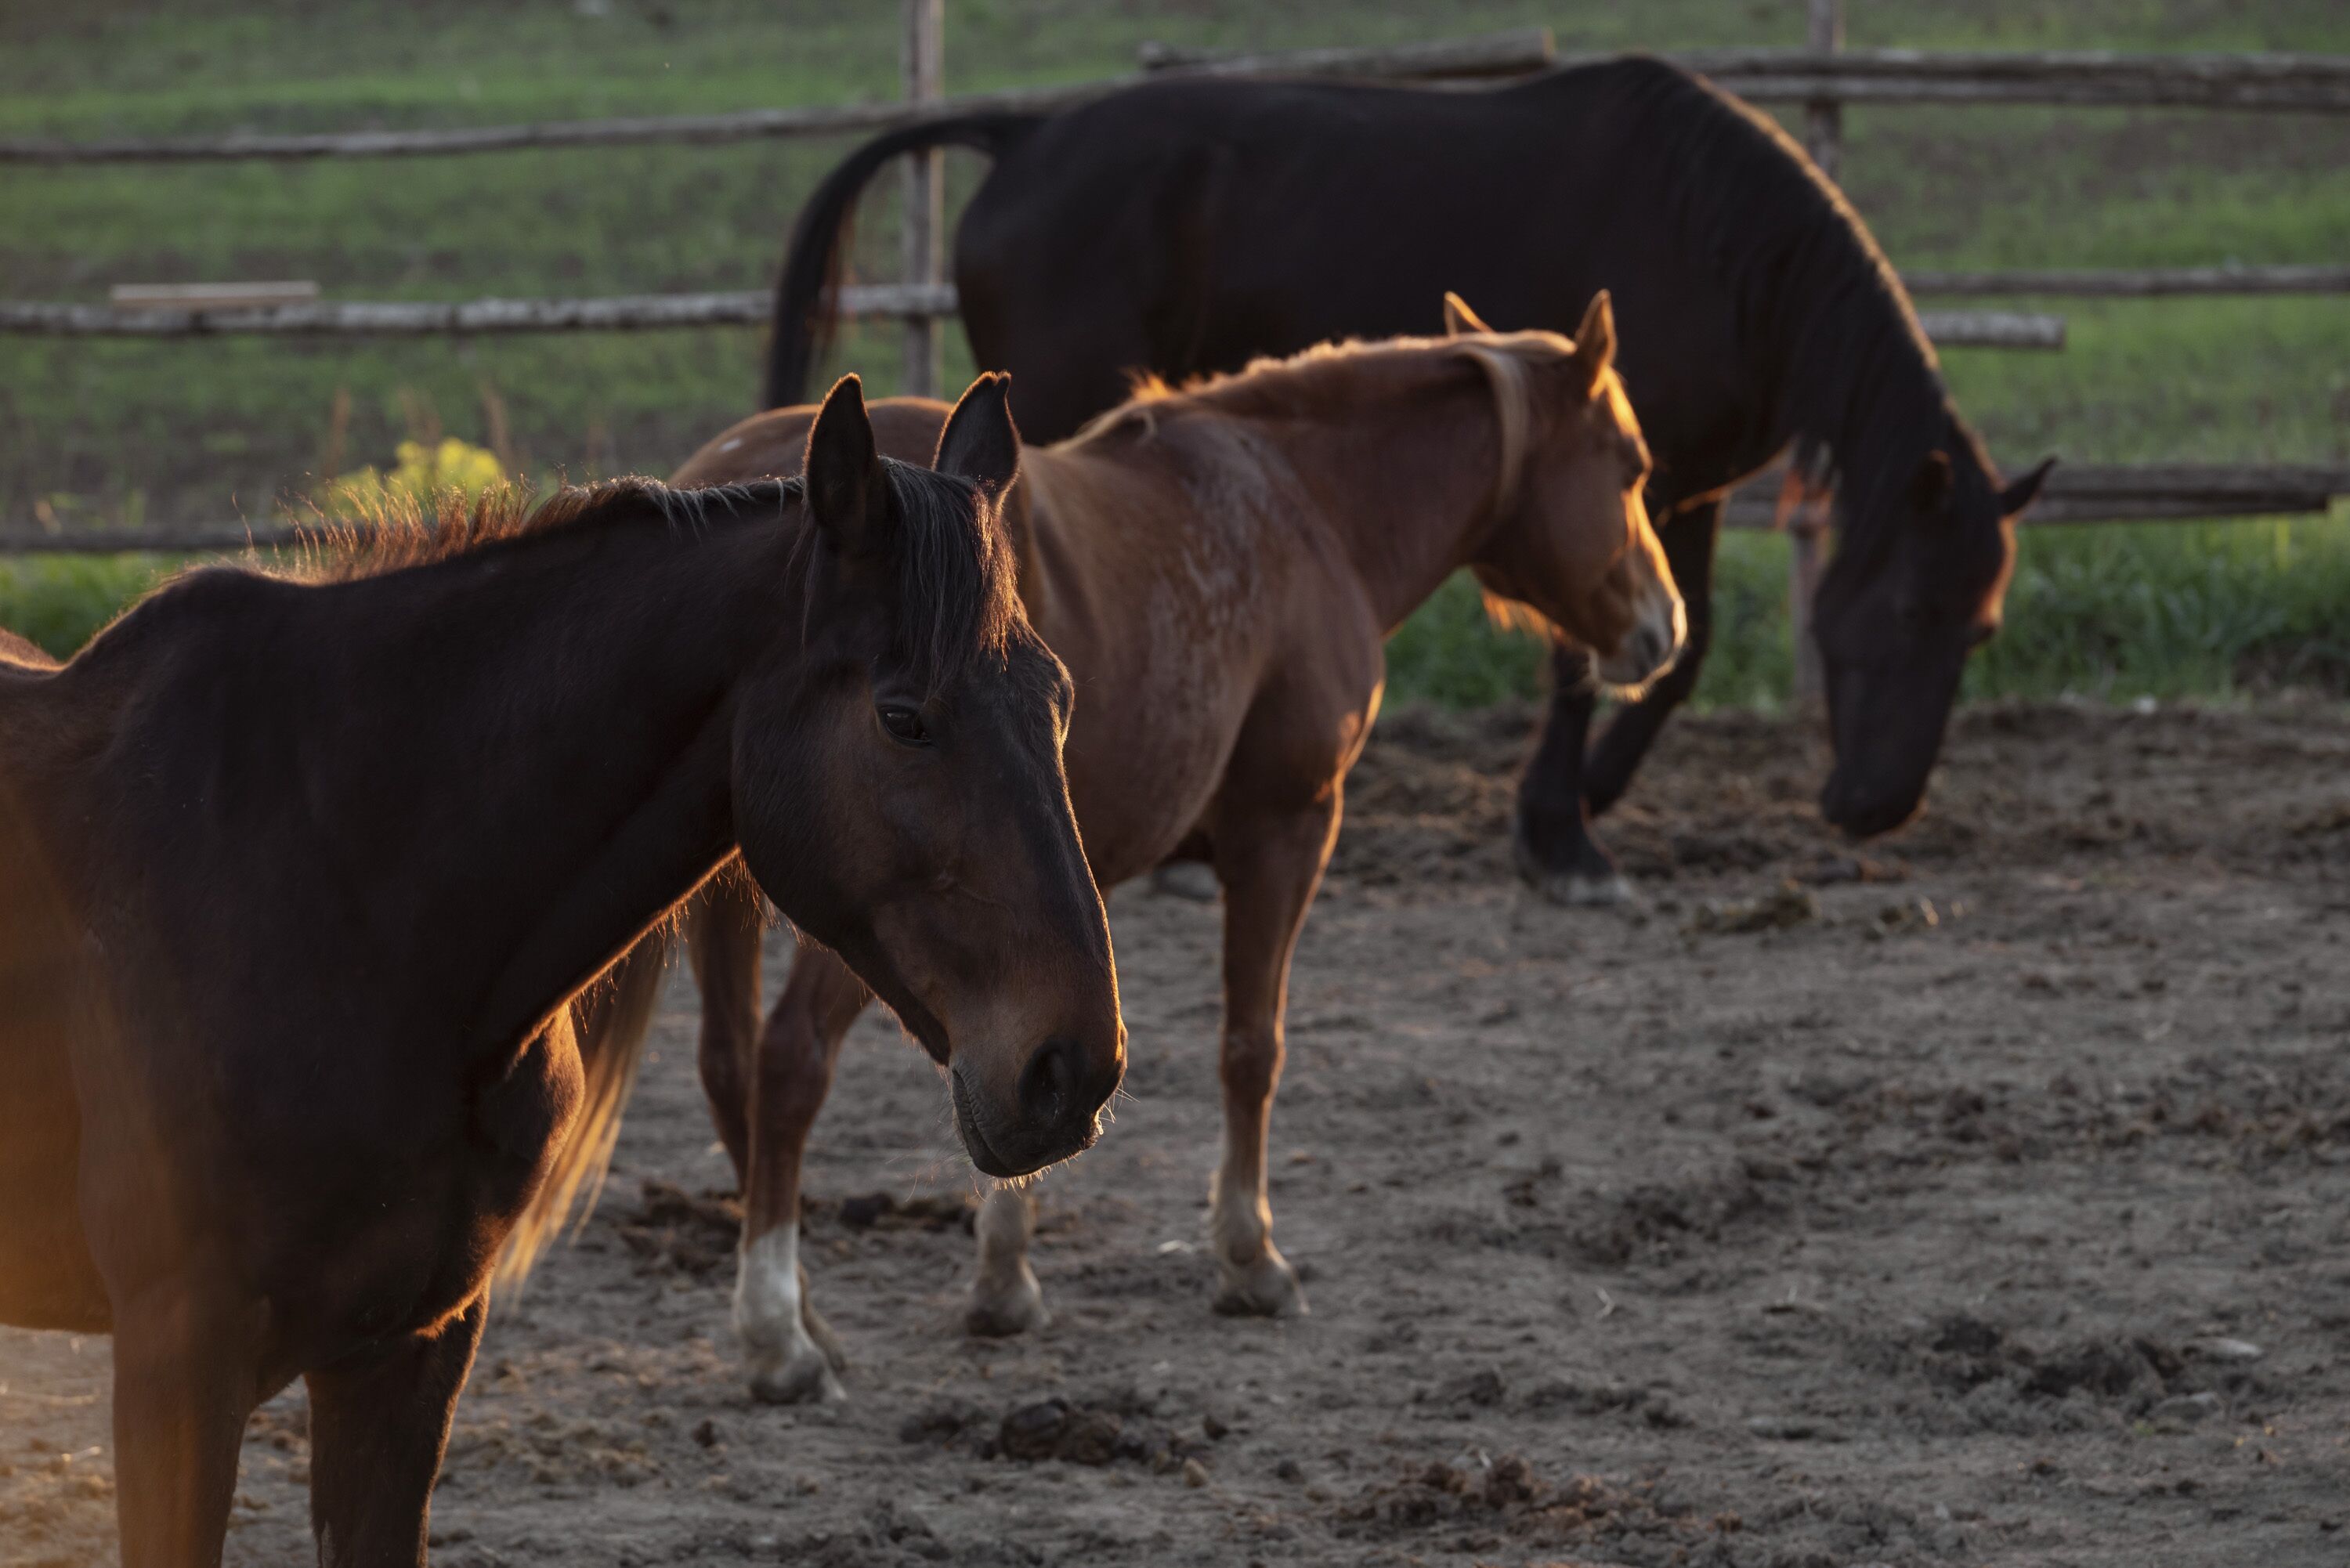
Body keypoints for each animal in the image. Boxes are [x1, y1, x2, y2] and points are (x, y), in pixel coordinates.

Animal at [0, 374, 1123, 1566]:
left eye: (1056, 699)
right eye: (904, 718)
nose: (1072, 1066)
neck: (336, 884)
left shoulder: (409, 1349)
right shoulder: (178, 1368)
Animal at [661, 295, 1683, 1401]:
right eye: (1631, 464)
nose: (1664, 626)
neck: (1301, 504)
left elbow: (1033, 1087)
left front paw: (1005, 1278)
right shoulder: (1287, 829)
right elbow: (1251, 1046)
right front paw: (1250, 1256)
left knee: (728, 1065)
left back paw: (804, 1310)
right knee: (787, 1063)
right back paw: (778, 1332)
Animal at [761, 55, 2055, 901]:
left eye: (1984, 629)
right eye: (1910, 611)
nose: (1876, 806)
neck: (1719, 244)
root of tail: (1022, 137)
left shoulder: (1676, 491)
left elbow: (1672, 655)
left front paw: (1586, 801)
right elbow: (1600, 659)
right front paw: (1564, 831)